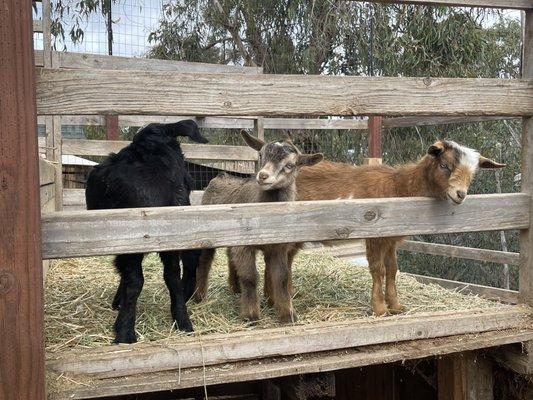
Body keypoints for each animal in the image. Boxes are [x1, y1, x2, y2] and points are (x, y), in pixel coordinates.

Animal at [84, 120, 206, 342]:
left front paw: (182, 321)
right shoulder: (131, 244)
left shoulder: (171, 243)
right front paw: (125, 331)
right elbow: (135, 282)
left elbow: (172, 277)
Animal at [194, 133, 322, 324]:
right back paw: (199, 296)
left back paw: (235, 288)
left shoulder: (278, 247)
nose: (263, 176)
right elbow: (250, 277)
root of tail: (221, 176)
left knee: (230, 256)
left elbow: (282, 277)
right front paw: (250, 315)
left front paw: (287, 315)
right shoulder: (244, 245)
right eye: (260, 155)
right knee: (205, 260)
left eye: (290, 165)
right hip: (209, 234)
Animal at [266, 140, 502, 316]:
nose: (460, 195)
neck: (399, 187)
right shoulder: (374, 235)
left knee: (283, 258)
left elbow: (392, 269)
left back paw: (279, 297)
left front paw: (396, 305)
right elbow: (378, 269)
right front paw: (380, 308)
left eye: (473, 174)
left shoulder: (390, 238)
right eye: (444, 165)